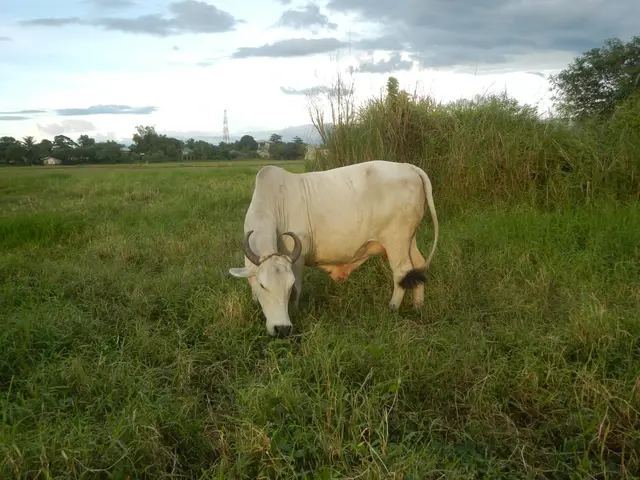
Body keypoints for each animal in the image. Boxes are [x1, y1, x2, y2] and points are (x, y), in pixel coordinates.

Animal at [227, 160, 439, 337]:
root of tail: (408, 167)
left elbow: (298, 288)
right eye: (263, 285)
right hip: (409, 240)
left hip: (396, 240)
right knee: (418, 267)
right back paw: (418, 306)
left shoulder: (298, 260)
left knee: (402, 272)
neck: (274, 203)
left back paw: (393, 307)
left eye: (288, 286)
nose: (282, 329)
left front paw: (294, 311)